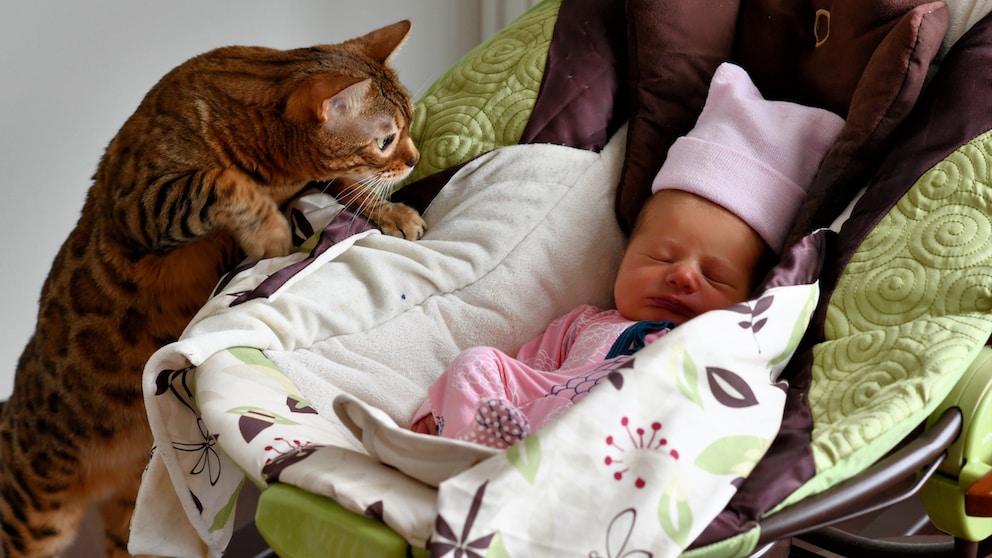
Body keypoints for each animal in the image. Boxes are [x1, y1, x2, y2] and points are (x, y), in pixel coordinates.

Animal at [0, 18, 422, 558]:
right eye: (387, 139)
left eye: (407, 127)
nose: (414, 159)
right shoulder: (140, 205)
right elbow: (220, 181)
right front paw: (271, 233)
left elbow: (339, 185)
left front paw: (390, 212)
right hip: (35, 510)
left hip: (127, 511)